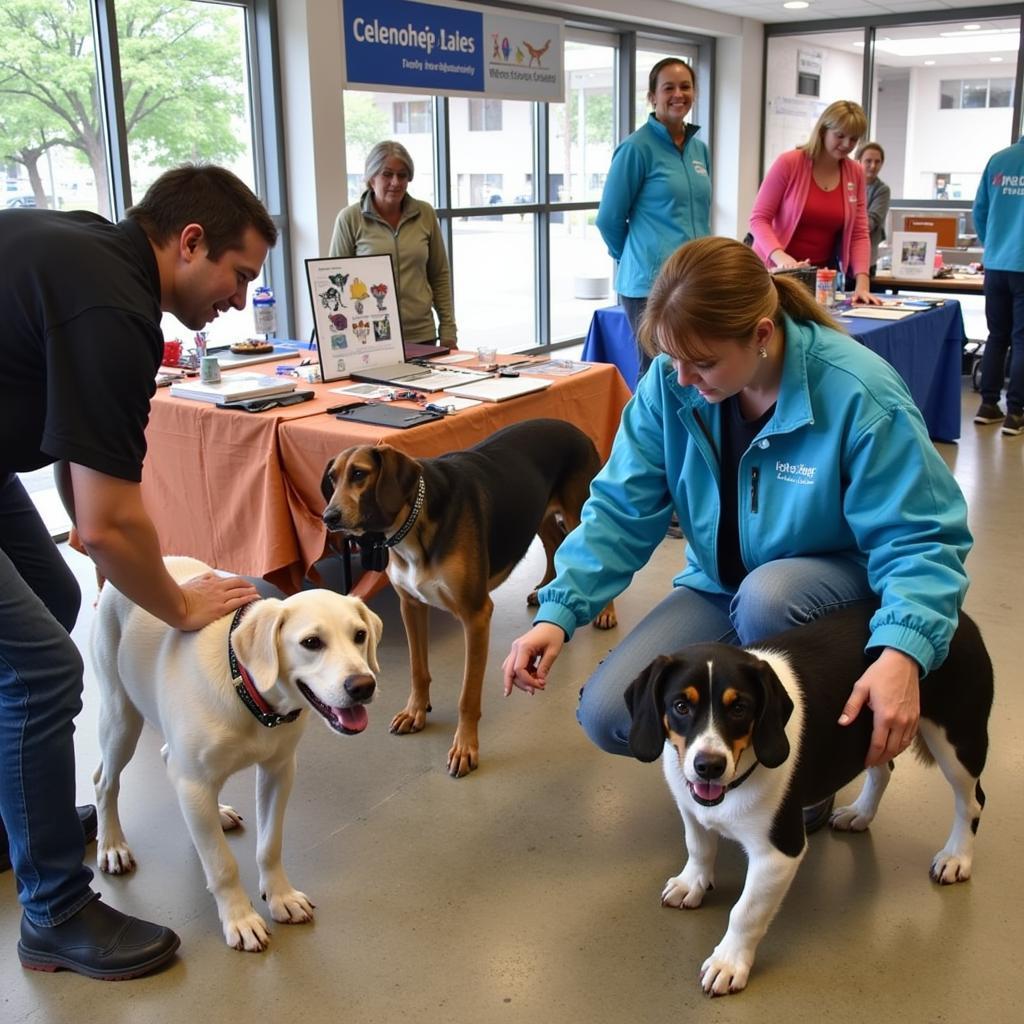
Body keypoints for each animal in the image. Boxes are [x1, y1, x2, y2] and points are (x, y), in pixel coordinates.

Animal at [90, 561, 380, 950]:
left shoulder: (279, 772)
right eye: (311, 643)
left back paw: (218, 813)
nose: (363, 686)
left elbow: (270, 845)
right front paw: (240, 919)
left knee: (167, 758)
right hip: (121, 718)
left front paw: (281, 897)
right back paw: (112, 845)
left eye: (360, 635)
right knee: (104, 781)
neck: (246, 688)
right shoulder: (194, 783)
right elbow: (222, 865)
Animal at [319, 415, 614, 774]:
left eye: (360, 474)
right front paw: (416, 711)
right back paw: (545, 589)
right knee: (554, 543)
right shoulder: (411, 606)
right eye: (332, 478)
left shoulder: (476, 616)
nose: (329, 517)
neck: (414, 522)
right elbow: (418, 670)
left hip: (579, 510)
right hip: (538, 513)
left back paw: (606, 612)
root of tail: (571, 427)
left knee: (599, 549)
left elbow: (467, 696)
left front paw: (465, 746)